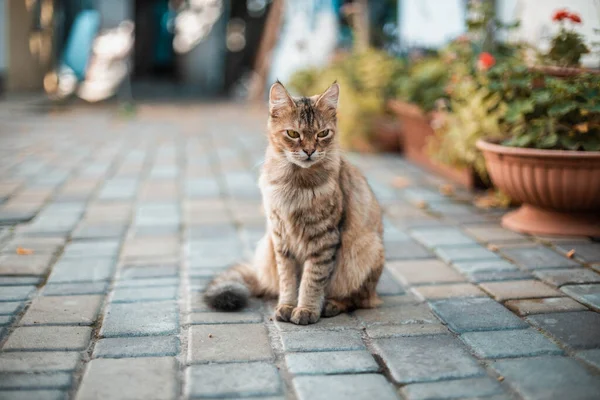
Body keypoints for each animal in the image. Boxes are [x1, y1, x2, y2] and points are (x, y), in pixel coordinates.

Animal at [205, 81, 384, 324]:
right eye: (293, 133)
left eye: (322, 133)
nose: (309, 151)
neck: (295, 184)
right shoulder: (281, 239)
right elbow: (288, 280)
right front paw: (287, 306)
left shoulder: (323, 239)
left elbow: (312, 280)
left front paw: (307, 309)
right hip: (267, 248)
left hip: (365, 250)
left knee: (360, 299)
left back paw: (332, 305)